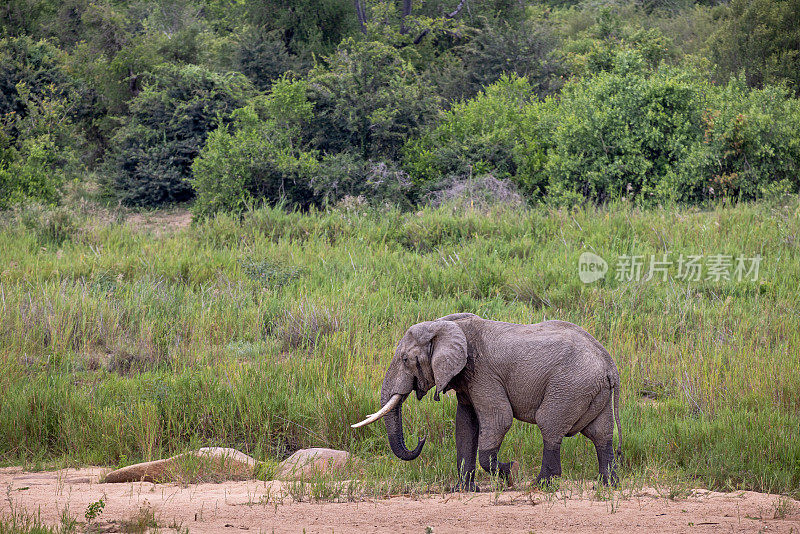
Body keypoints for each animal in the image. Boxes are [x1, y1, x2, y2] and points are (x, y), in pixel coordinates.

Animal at [354, 314, 620, 494]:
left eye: (405, 359)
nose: (421, 438)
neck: (446, 325)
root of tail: (609, 364)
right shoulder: (466, 377)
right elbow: (465, 424)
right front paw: (463, 490)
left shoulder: (483, 373)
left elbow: (499, 418)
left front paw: (510, 472)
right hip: (591, 389)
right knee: (601, 433)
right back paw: (607, 485)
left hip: (569, 385)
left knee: (550, 426)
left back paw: (540, 484)